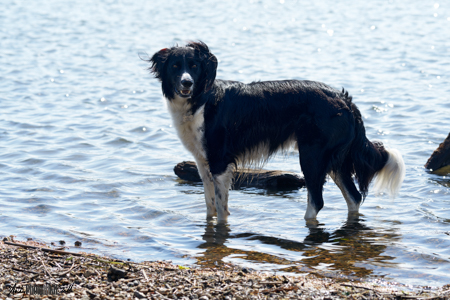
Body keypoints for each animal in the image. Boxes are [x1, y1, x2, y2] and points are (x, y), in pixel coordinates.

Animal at [149, 41, 406, 223]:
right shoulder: (203, 162)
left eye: (194, 66)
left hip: (312, 155)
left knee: (317, 201)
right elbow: (210, 204)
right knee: (354, 197)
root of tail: (344, 100)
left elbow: (221, 209)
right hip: (334, 161)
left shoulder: (219, 161)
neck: (201, 99)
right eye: (175, 66)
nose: (186, 83)